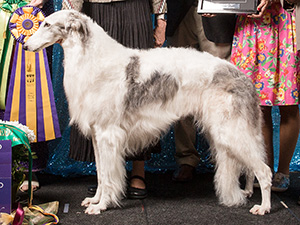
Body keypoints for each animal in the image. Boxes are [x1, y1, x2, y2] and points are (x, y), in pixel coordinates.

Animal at [22, 9, 272, 215]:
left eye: (47, 24)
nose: (24, 46)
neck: (94, 59)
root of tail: (242, 76)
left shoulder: (108, 134)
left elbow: (109, 177)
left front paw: (102, 206)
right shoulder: (96, 134)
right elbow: (101, 174)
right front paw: (95, 200)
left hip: (231, 131)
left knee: (264, 171)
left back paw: (264, 206)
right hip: (228, 131)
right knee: (252, 168)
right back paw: (248, 192)